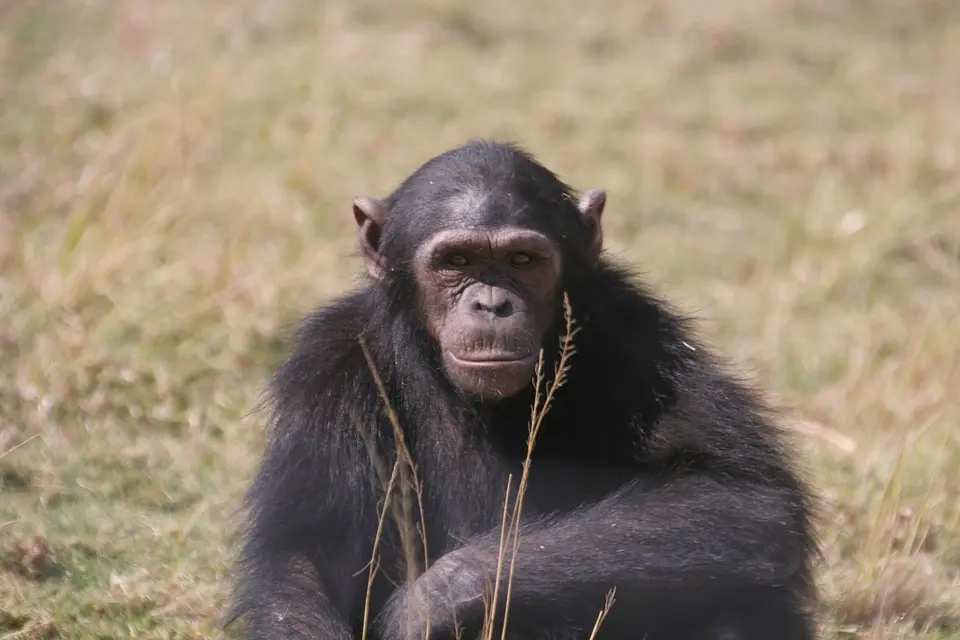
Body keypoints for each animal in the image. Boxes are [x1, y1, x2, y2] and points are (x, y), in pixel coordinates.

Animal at [225, 140, 816, 640]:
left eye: (522, 261)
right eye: (457, 261)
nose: (492, 304)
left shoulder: (644, 342)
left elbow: (742, 495)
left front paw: (436, 599)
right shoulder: (327, 369)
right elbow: (303, 562)